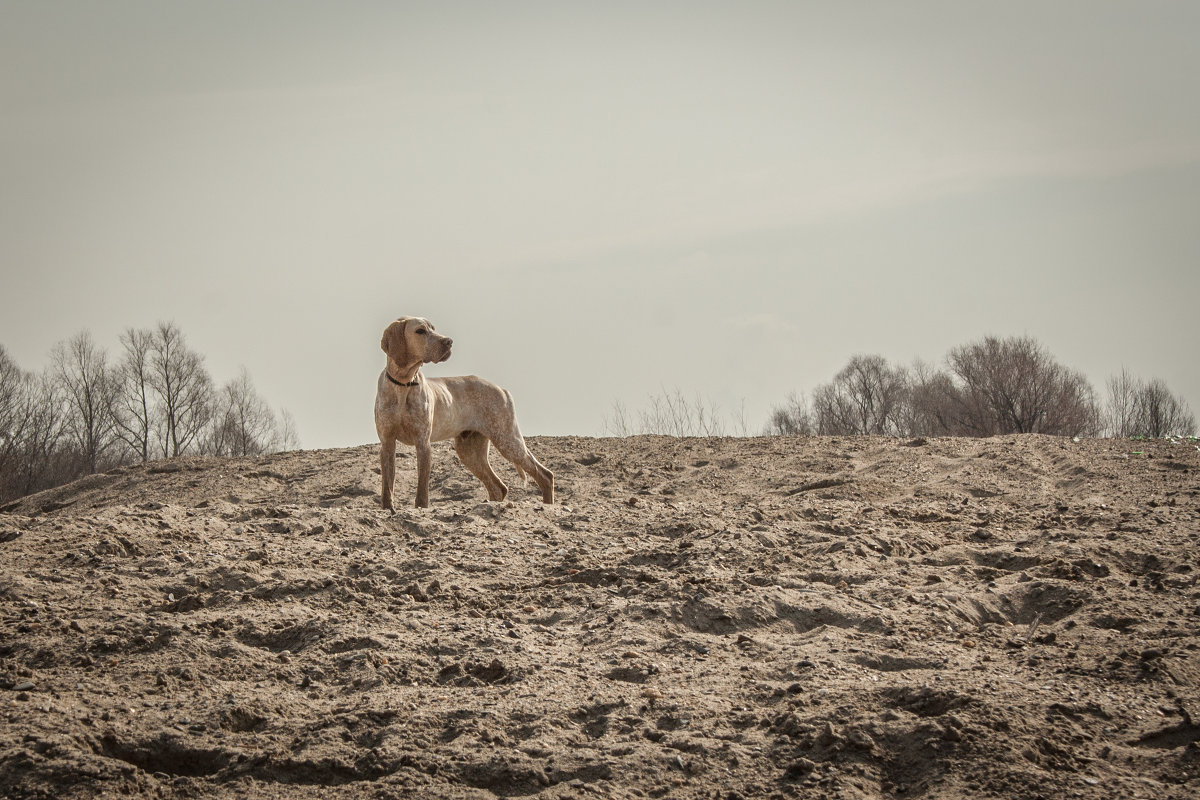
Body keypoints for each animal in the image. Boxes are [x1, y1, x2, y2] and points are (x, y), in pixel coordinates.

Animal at [372, 316, 554, 510]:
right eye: (420, 331)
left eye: (433, 328)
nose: (448, 341)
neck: (403, 383)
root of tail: (501, 389)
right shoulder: (387, 443)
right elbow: (387, 485)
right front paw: (387, 508)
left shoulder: (423, 443)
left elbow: (422, 490)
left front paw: (421, 507)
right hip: (470, 451)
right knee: (499, 487)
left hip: (508, 441)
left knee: (545, 475)